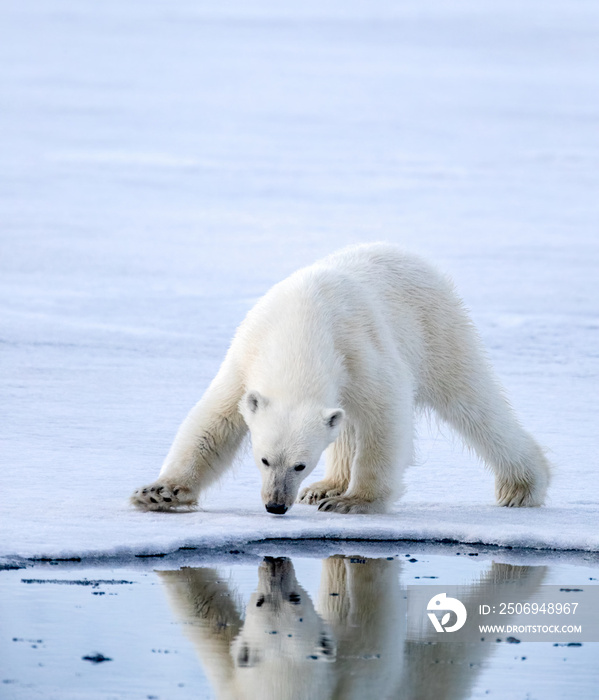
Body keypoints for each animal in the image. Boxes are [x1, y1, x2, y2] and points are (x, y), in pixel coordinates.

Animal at [132, 245, 552, 516]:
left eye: (300, 464)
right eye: (264, 459)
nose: (275, 505)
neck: (300, 327)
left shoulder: (356, 348)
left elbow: (386, 413)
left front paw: (355, 501)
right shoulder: (246, 356)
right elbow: (213, 422)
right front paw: (158, 492)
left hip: (437, 328)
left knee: (472, 403)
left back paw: (522, 487)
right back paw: (326, 486)